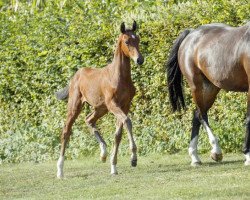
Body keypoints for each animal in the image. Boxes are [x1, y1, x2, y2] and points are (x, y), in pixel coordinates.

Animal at [55, 21, 144, 178]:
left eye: (138, 39)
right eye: (127, 41)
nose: (140, 60)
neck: (119, 77)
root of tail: (75, 75)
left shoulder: (125, 105)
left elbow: (118, 134)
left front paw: (113, 166)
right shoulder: (113, 104)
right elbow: (127, 121)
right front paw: (133, 158)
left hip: (101, 108)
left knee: (89, 120)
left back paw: (103, 153)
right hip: (75, 106)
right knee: (66, 130)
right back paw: (60, 170)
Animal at [166, 22, 250, 166]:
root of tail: (191, 33)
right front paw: (248, 155)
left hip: (211, 88)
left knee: (196, 114)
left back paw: (195, 157)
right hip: (197, 86)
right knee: (201, 115)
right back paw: (216, 151)